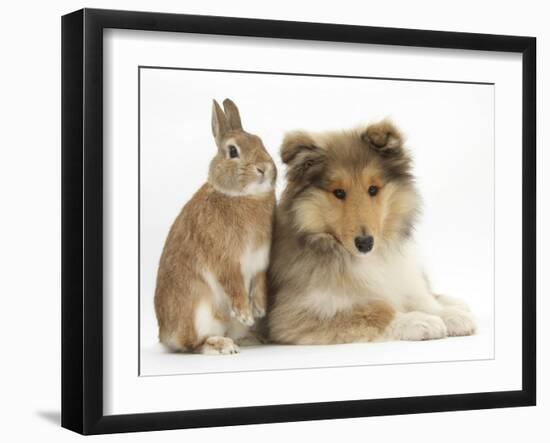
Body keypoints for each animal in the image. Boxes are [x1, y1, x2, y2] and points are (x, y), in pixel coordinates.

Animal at [154, 99, 276, 356]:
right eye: (233, 151)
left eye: (260, 141)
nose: (263, 168)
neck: (243, 196)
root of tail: (165, 336)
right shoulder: (226, 260)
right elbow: (234, 284)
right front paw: (245, 313)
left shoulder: (260, 261)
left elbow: (259, 282)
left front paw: (260, 308)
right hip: (198, 312)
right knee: (192, 345)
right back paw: (222, 345)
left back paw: (251, 337)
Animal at [268, 119, 478, 346]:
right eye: (339, 193)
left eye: (373, 189)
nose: (365, 243)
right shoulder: (296, 312)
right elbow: (376, 311)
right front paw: (419, 321)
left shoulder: (399, 277)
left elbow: (419, 299)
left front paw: (448, 315)